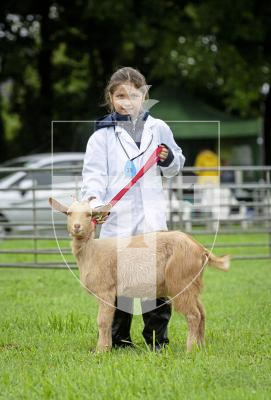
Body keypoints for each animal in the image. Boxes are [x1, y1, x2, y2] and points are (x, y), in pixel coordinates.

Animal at [49, 198, 232, 352]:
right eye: (69, 213)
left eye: (89, 214)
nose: (77, 227)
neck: (92, 251)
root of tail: (201, 249)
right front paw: (108, 347)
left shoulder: (105, 290)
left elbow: (102, 321)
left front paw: (101, 351)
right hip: (192, 284)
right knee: (202, 312)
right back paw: (201, 346)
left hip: (181, 281)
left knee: (194, 315)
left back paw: (190, 349)